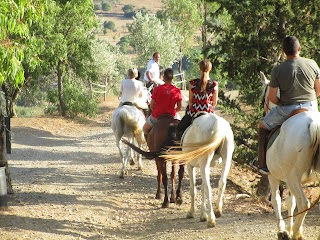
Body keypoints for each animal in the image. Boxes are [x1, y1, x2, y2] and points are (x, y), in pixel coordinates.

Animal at [260, 71, 320, 240]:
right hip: (294, 179)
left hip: (292, 177)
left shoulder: (273, 176)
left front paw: (283, 231)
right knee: (300, 203)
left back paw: (296, 234)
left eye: (263, 97)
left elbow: (276, 200)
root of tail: (313, 123)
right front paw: (289, 228)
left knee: (304, 203)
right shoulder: (289, 180)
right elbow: (290, 202)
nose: (264, 112)